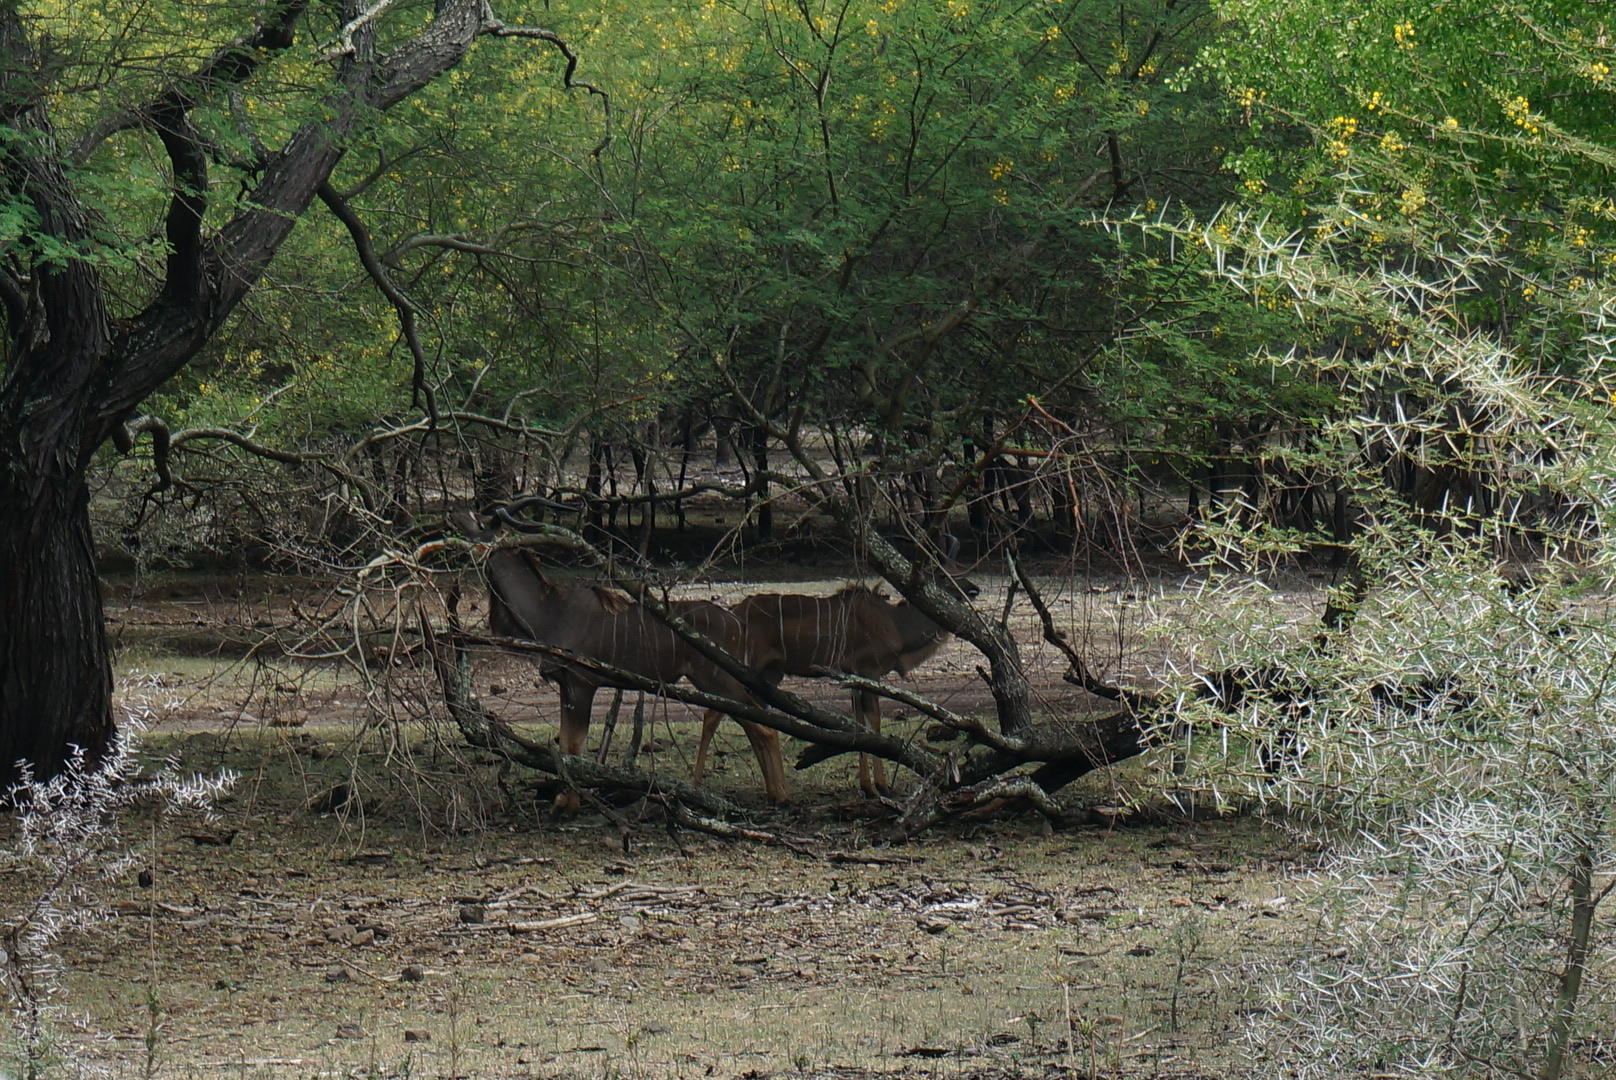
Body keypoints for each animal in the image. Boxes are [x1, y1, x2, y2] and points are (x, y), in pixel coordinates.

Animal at [449, 510, 788, 805]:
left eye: (482, 521)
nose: (456, 513)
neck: (550, 610)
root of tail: (737, 622)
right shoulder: (565, 686)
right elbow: (566, 743)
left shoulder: (583, 683)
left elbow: (575, 744)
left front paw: (567, 806)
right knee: (757, 718)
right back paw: (774, 794)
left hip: (716, 679)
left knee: (763, 726)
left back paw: (780, 796)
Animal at [691, 572, 969, 792]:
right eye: (943, 576)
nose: (972, 590)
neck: (893, 623)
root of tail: (734, 614)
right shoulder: (869, 670)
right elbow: (873, 718)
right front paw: (880, 786)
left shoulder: (854, 676)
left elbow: (859, 720)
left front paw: (867, 787)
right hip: (744, 667)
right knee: (714, 714)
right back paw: (698, 784)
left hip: (769, 674)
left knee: (755, 717)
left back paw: (775, 790)